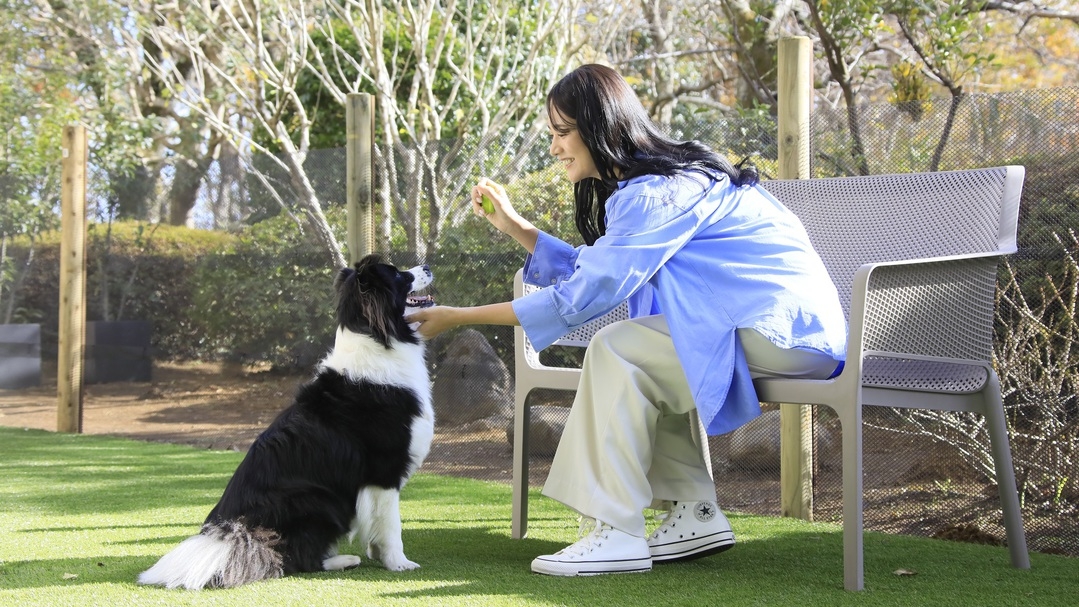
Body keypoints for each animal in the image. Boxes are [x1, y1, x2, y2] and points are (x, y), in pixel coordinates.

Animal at [139, 254, 433, 590]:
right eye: (397, 275)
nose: (427, 267)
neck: (377, 338)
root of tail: (239, 532)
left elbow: (377, 524)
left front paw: (377, 552)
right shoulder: (383, 472)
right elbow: (392, 525)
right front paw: (399, 563)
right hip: (318, 500)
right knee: (295, 558)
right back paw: (343, 560)